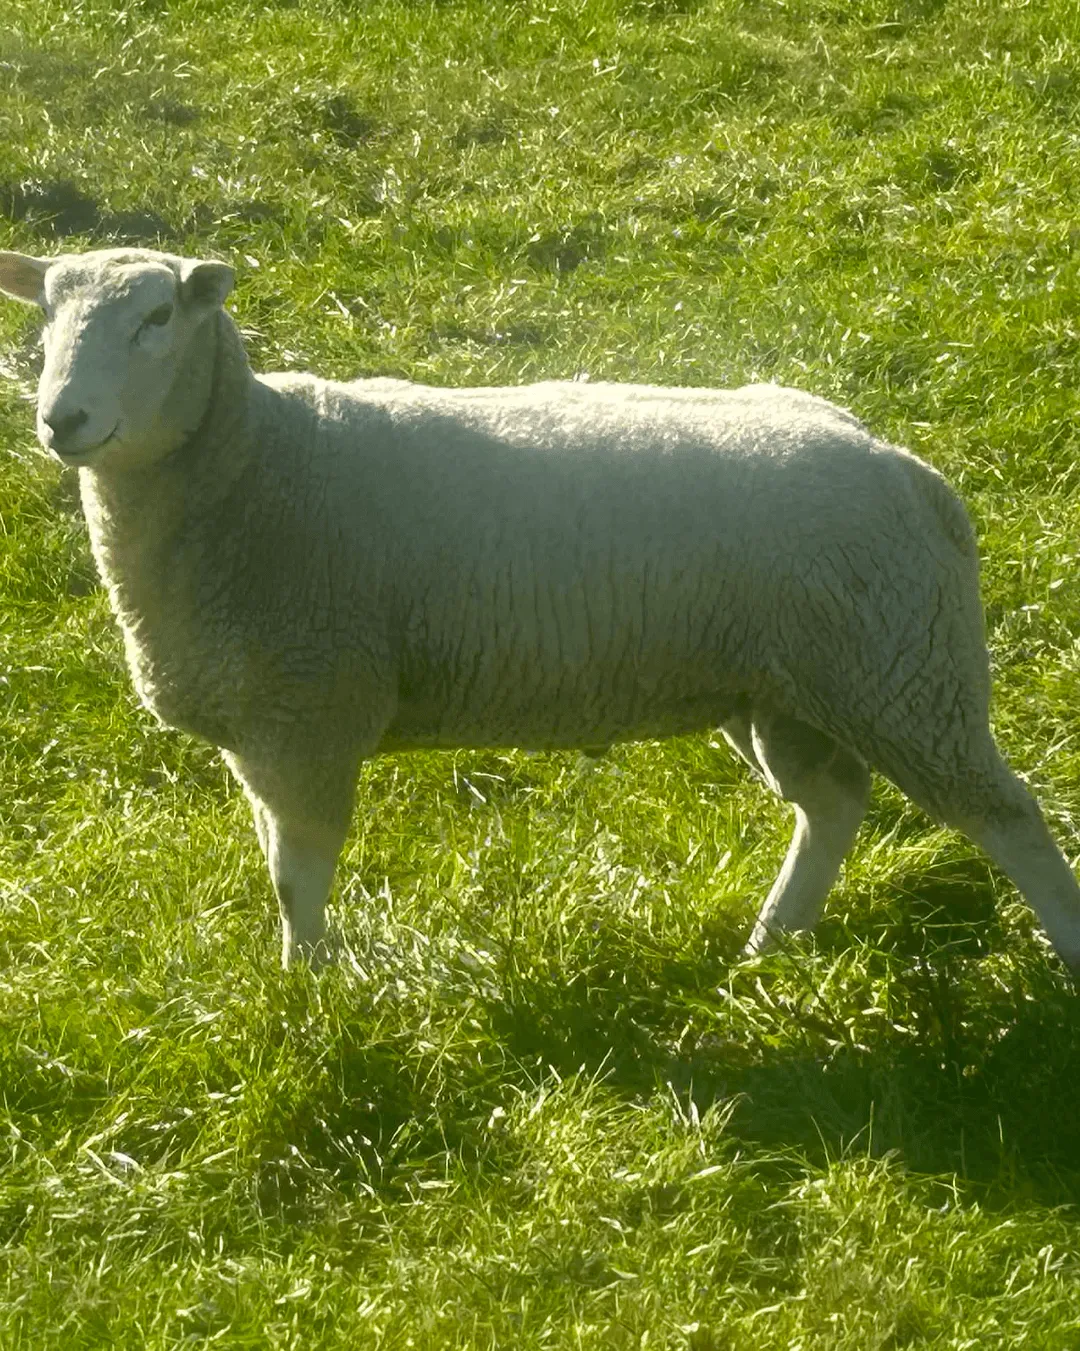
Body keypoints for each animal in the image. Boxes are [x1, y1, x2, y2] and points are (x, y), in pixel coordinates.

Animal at [2, 244, 1080, 976]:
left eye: (156, 317)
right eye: (44, 318)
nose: (63, 419)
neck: (260, 461)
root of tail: (906, 468)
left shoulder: (307, 716)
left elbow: (296, 875)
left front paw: (307, 993)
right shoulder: (266, 725)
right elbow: (280, 865)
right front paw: (303, 980)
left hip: (902, 669)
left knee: (1008, 815)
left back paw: (1058, 949)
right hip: (787, 684)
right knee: (833, 805)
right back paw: (771, 942)